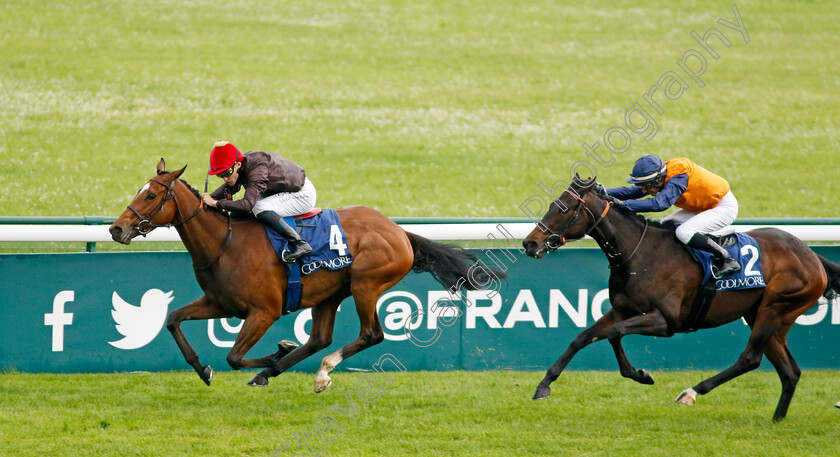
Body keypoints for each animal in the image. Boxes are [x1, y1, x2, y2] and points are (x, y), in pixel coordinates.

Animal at [107, 159, 496, 390]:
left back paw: (317, 371)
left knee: (370, 334)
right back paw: (278, 371)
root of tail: (399, 231)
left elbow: (234, 357)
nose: (115, 229)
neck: (224, 243)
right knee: (319, 338)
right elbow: (173, 319)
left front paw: (274, 353)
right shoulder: (220, 303)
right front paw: (203, 369)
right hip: (330, 293)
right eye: (140, 191)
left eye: (152, 195)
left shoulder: (264, 311)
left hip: (366, 284)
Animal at [520, 175, 836, 420]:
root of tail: (812, 256)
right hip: (765, 315)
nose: (530, 243)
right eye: (551, 205)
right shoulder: (622, 309)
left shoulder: (666, 322)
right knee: (789, 371)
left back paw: (691, 392)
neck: (640, 253)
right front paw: (544, 386)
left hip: (776, 308)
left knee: (750, 359)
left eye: (563, 209)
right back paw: (777, 419)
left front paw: (640, 374)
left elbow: (615, 333)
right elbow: (583, 337)